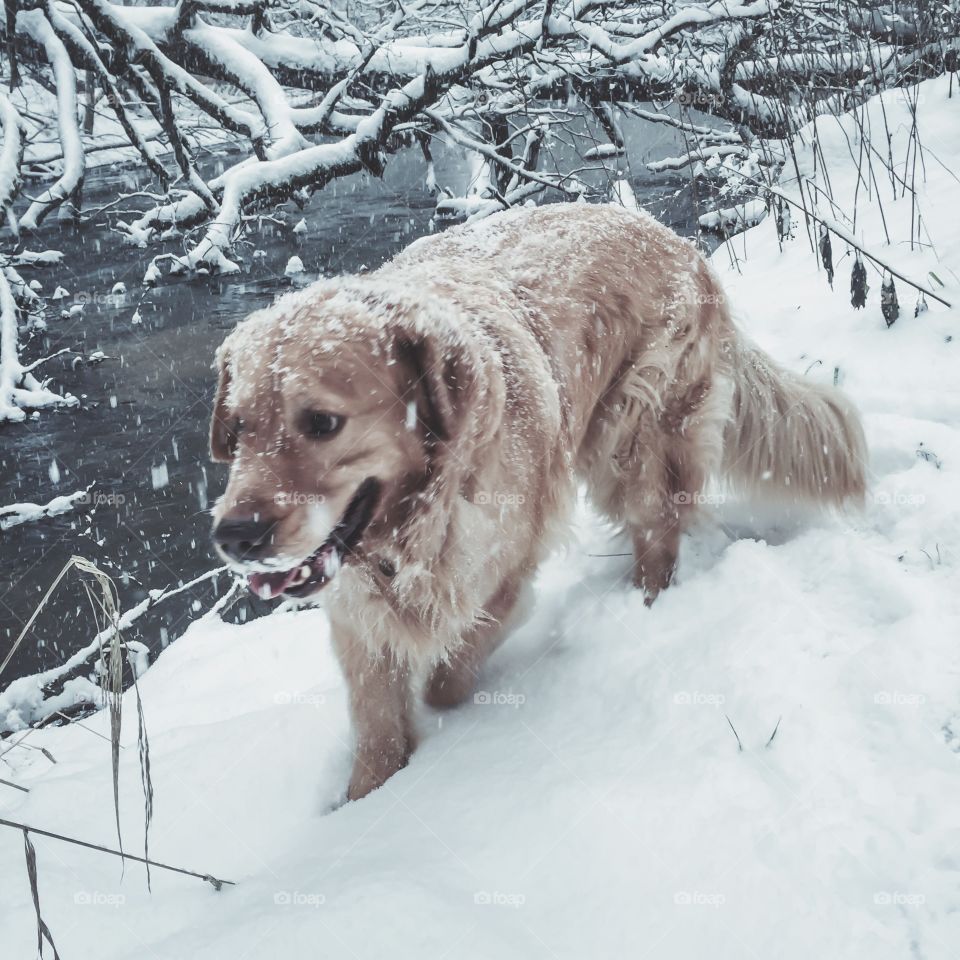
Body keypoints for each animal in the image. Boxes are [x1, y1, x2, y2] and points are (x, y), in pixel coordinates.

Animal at [210, 204, 872, 804]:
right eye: (237, 429)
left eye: (322, 423)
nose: (235, 536)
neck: (417, 519)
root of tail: (678, 241)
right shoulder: (357, 616)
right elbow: (376, 730)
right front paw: (365, 802)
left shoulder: (507, 570)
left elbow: (447, 679)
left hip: (631, 438)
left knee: (658, 530)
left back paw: (649, 607)